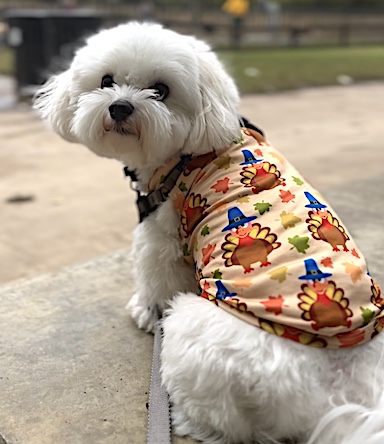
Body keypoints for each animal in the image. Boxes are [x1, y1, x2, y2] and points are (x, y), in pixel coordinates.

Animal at [33, 21, 384, 444]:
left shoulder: (160, 234)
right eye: (106, 81)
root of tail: (336, 385)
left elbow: (155, 278)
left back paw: (185, 417)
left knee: (222, 417)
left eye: (161, 90)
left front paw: (146, 311)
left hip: (201, 337)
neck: (182, 155)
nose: (120, 106)